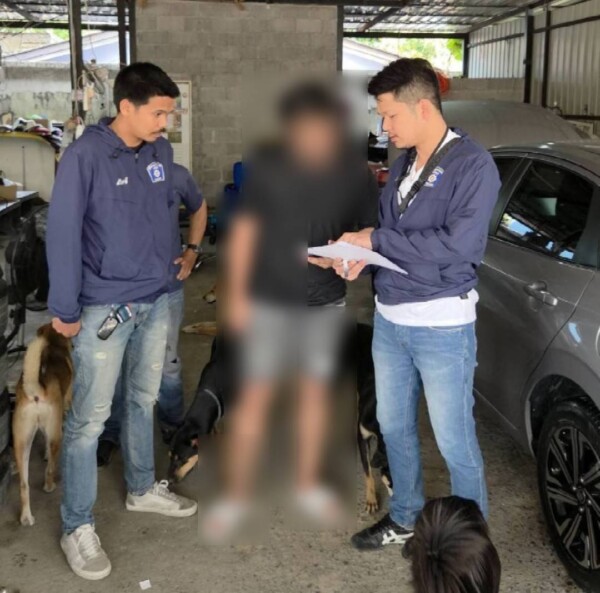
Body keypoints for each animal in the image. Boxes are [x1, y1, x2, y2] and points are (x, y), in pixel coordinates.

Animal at [12, 324, 73, 526]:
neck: (53, 343)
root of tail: (35, 392)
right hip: (56, 434)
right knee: (50, 468)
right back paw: (49, 486)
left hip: (21, 440)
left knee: (24, 484)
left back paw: (26, 517)